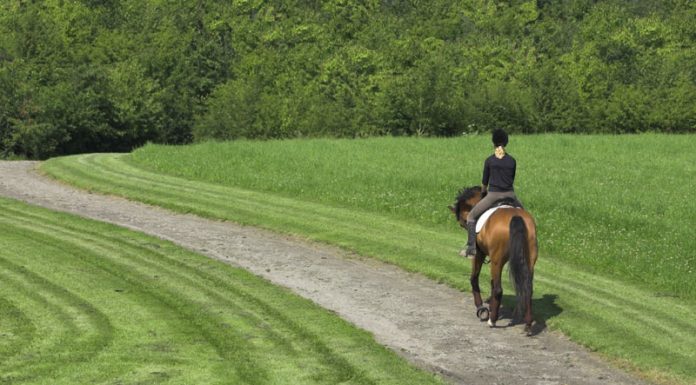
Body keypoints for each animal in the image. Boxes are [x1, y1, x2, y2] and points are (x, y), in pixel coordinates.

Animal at [448, 185, 540, 332]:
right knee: (528, 289)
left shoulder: (479, 254)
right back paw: (528, 325)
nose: (465, 225)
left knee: (498, 289)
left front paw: (482, 309)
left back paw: (492, 320)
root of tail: (516, 216)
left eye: (463, 222)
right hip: (529, 260)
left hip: (497, 260)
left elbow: (474, 278)